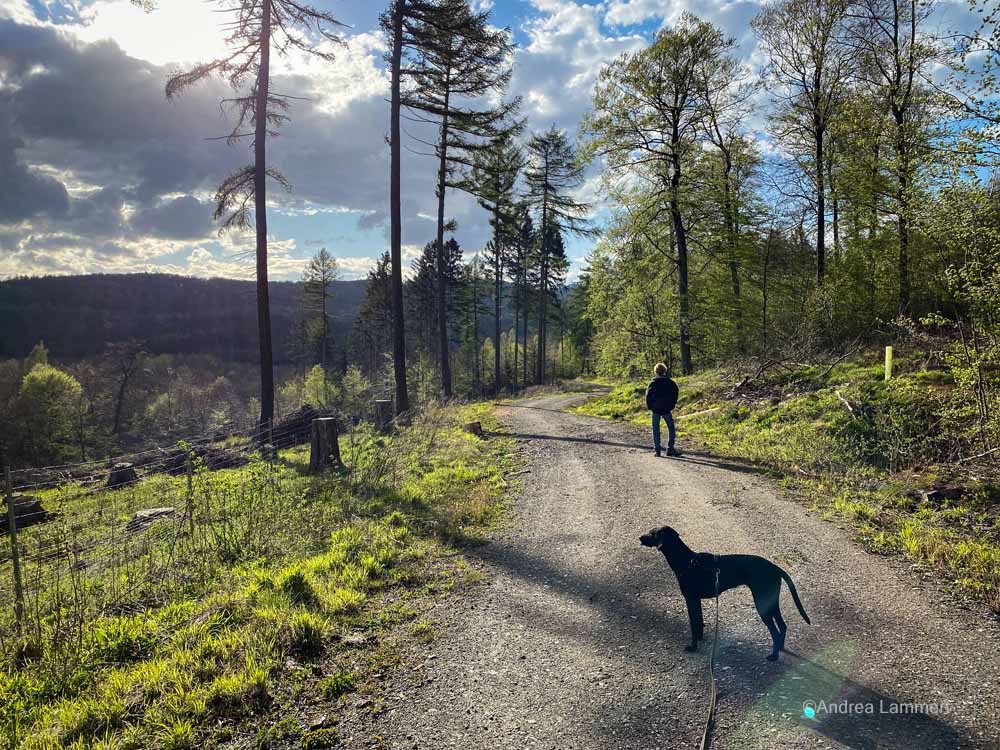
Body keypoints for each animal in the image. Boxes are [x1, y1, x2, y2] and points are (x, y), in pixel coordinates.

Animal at [640, 524, 812, 660]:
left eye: (652, 533)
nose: (639, 537)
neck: (686, 561)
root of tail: (776, 568)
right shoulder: (696, 600)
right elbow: (699, 623)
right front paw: (700, 640)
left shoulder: (691, 599)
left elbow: (694, 625)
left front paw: (693, 646)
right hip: (771, 601)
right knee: (782, 626)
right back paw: (780, 648)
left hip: (762, 603)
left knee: (775, 631)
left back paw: (774, 656)